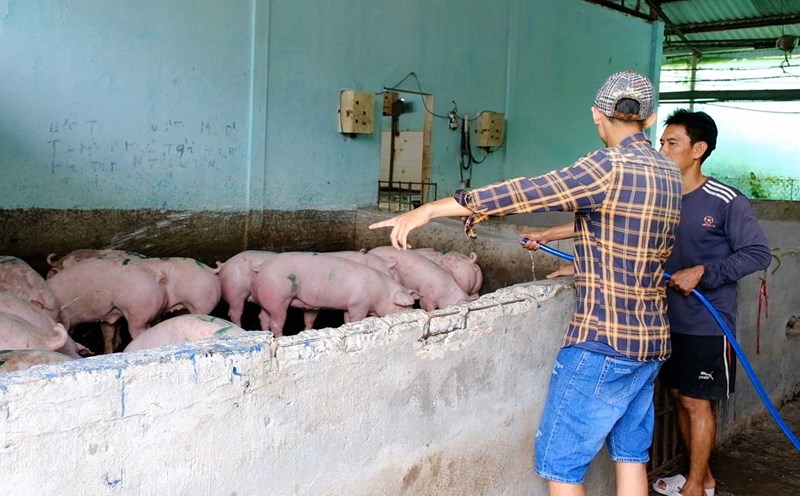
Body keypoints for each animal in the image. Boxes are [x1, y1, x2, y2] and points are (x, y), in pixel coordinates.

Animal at [250, 252, 417, 336]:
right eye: (403, 306)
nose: (412, 312)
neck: (381, 294)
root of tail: (262, 267)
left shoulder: (348, 306)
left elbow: (347, 320)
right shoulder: (358, 306)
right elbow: (356, 319)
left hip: (267, 301)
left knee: (263, 316)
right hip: (279, 298)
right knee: (276, 322)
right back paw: (280, 337)